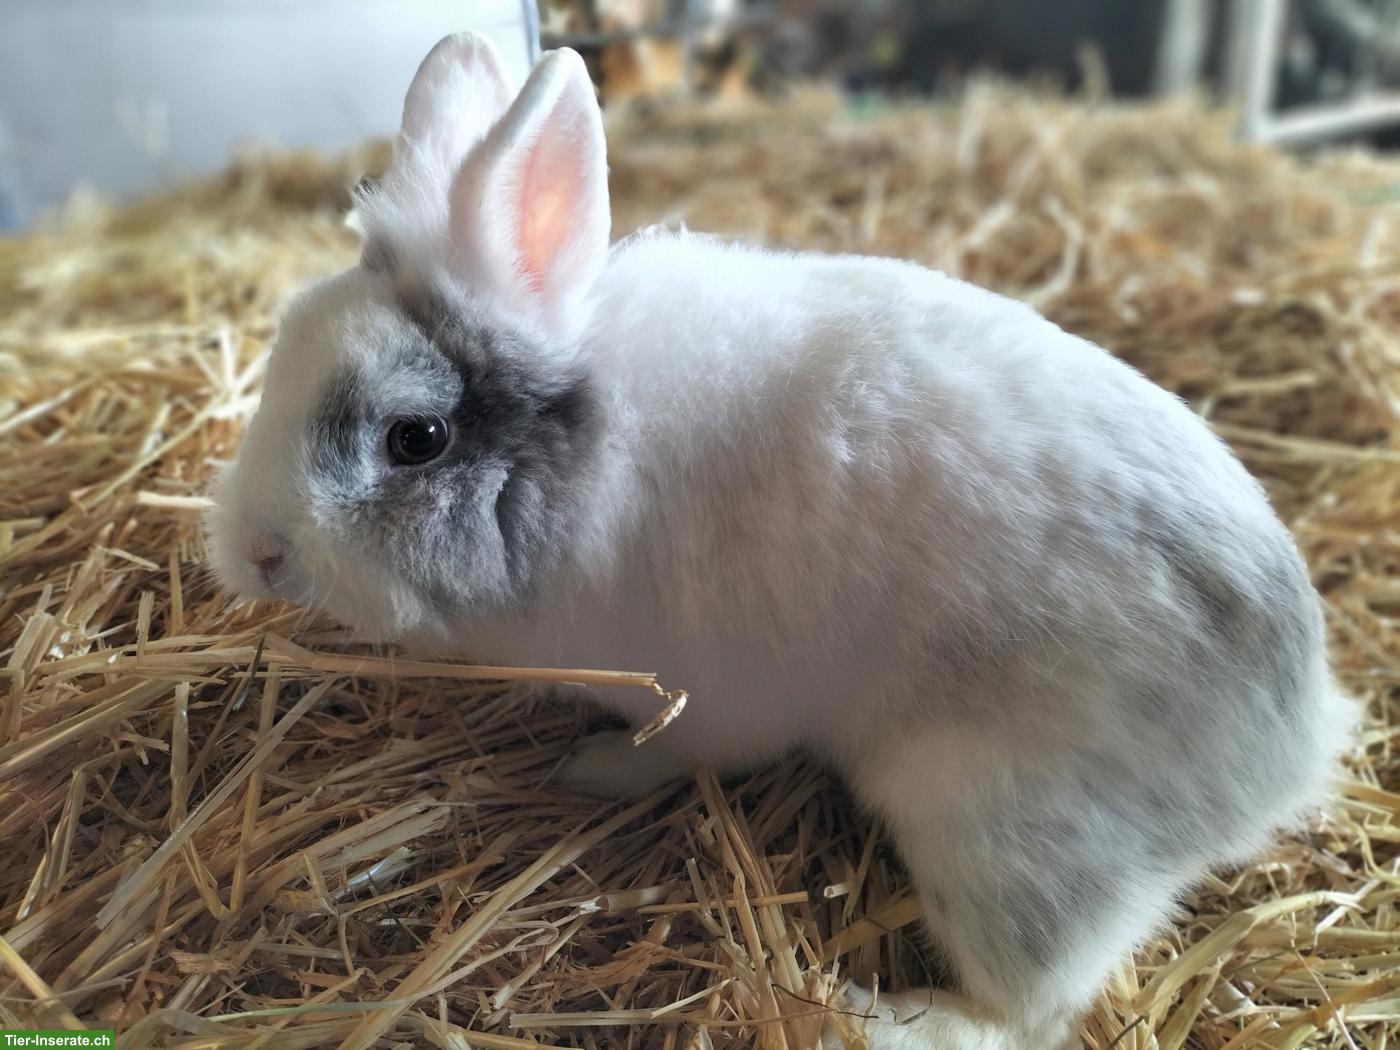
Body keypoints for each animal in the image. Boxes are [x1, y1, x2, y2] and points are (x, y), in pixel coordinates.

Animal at [206, 31, 1354, 1050]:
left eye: (416, 438)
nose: (253, 549)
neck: (587, 463)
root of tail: (1292, 745)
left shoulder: (698, 703)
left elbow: (664, 756)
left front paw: (586, 770)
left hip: (1005, 840)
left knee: (1029, 1014)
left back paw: (873, 1017)